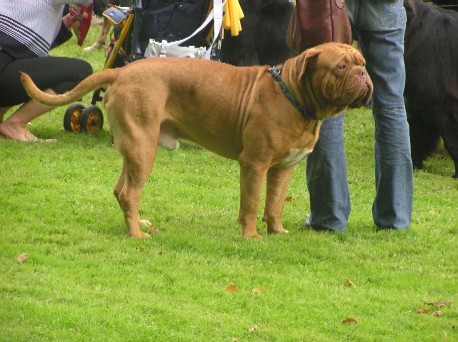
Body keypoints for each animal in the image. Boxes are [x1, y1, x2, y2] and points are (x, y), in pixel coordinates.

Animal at [20, 42, 372, 238]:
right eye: (341, 66)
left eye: (363, 63)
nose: (364, 75)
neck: (296, 97)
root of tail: (121, 71)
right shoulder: (254, 164)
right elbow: (251, 203)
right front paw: (251, 236)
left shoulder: (283, 168)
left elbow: (274, 203)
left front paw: (277, 232)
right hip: (143, 147)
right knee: (131, 192)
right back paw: (136, 235)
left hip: (134, 147)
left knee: (122, 190)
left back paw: (139, 225)